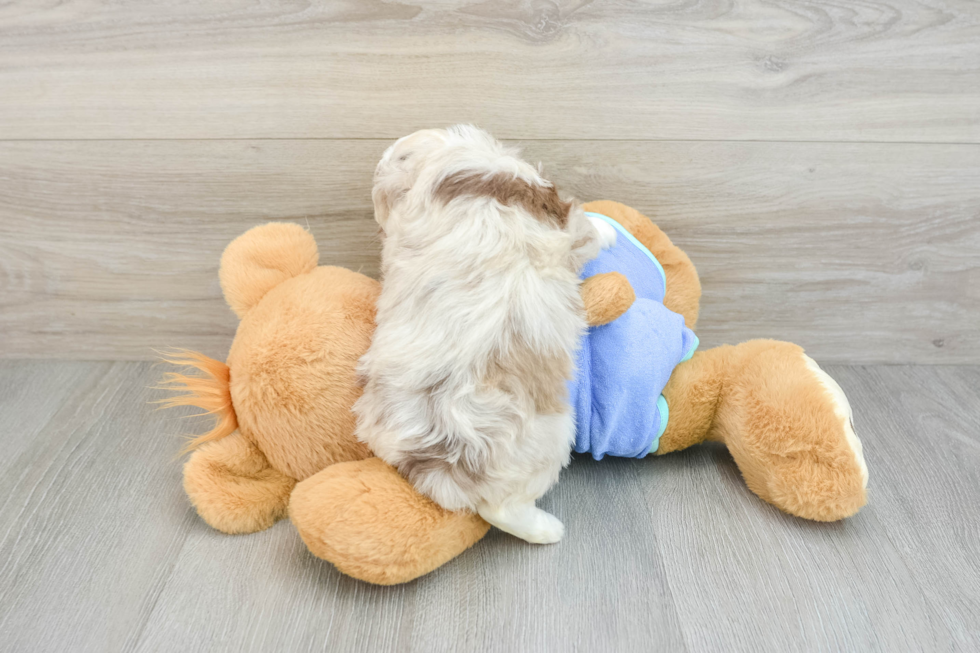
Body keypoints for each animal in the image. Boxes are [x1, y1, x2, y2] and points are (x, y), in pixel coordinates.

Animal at [352, 125, 612, 544]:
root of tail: (442, 460)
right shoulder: (561, 220)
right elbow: (587, 230)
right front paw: (610, 230)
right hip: (549, 439)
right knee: (502, 510)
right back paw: (548, 530)